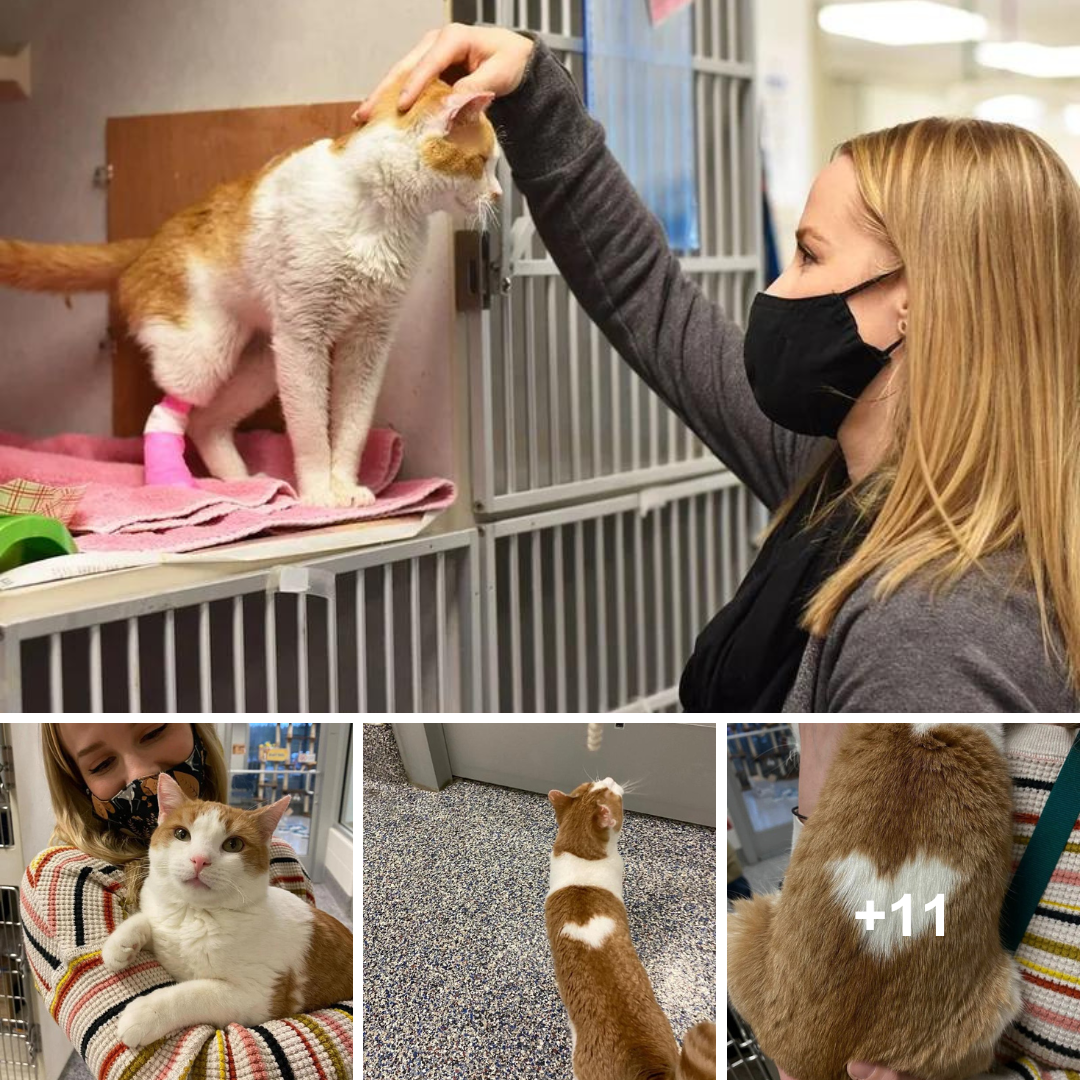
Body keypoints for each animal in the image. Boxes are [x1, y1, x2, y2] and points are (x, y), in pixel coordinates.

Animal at [0, 76, 503, 505]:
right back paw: (182, 486)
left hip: (263, 360)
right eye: (482, 162)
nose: (498, 194)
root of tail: (151, 241)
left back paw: (248, 487)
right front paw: (320, 495)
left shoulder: (369, 341)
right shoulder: (304, 338)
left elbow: (353, 427)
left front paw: (346, 488)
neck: (381, 215)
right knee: (169, 413)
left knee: (206, 423)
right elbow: (311, 431)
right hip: (208, 352)